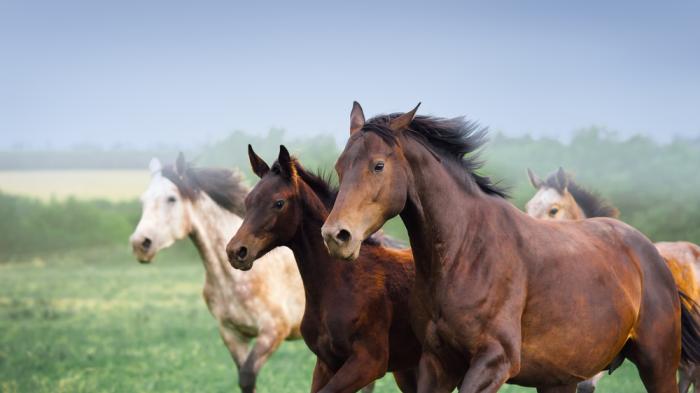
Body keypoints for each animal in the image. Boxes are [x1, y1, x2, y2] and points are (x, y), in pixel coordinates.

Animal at [130, 153, 304, 392]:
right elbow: (244, 379)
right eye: (143, 200)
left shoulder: (273, 331)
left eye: (171, 199)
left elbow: (248, 375)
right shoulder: (232, 334)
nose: (140, 244)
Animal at [226, 145, 422, 392]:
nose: (236, 251)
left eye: (279, 203)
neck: (341, 282)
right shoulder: (325, 363)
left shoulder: (369, 362)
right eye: (248, 200)